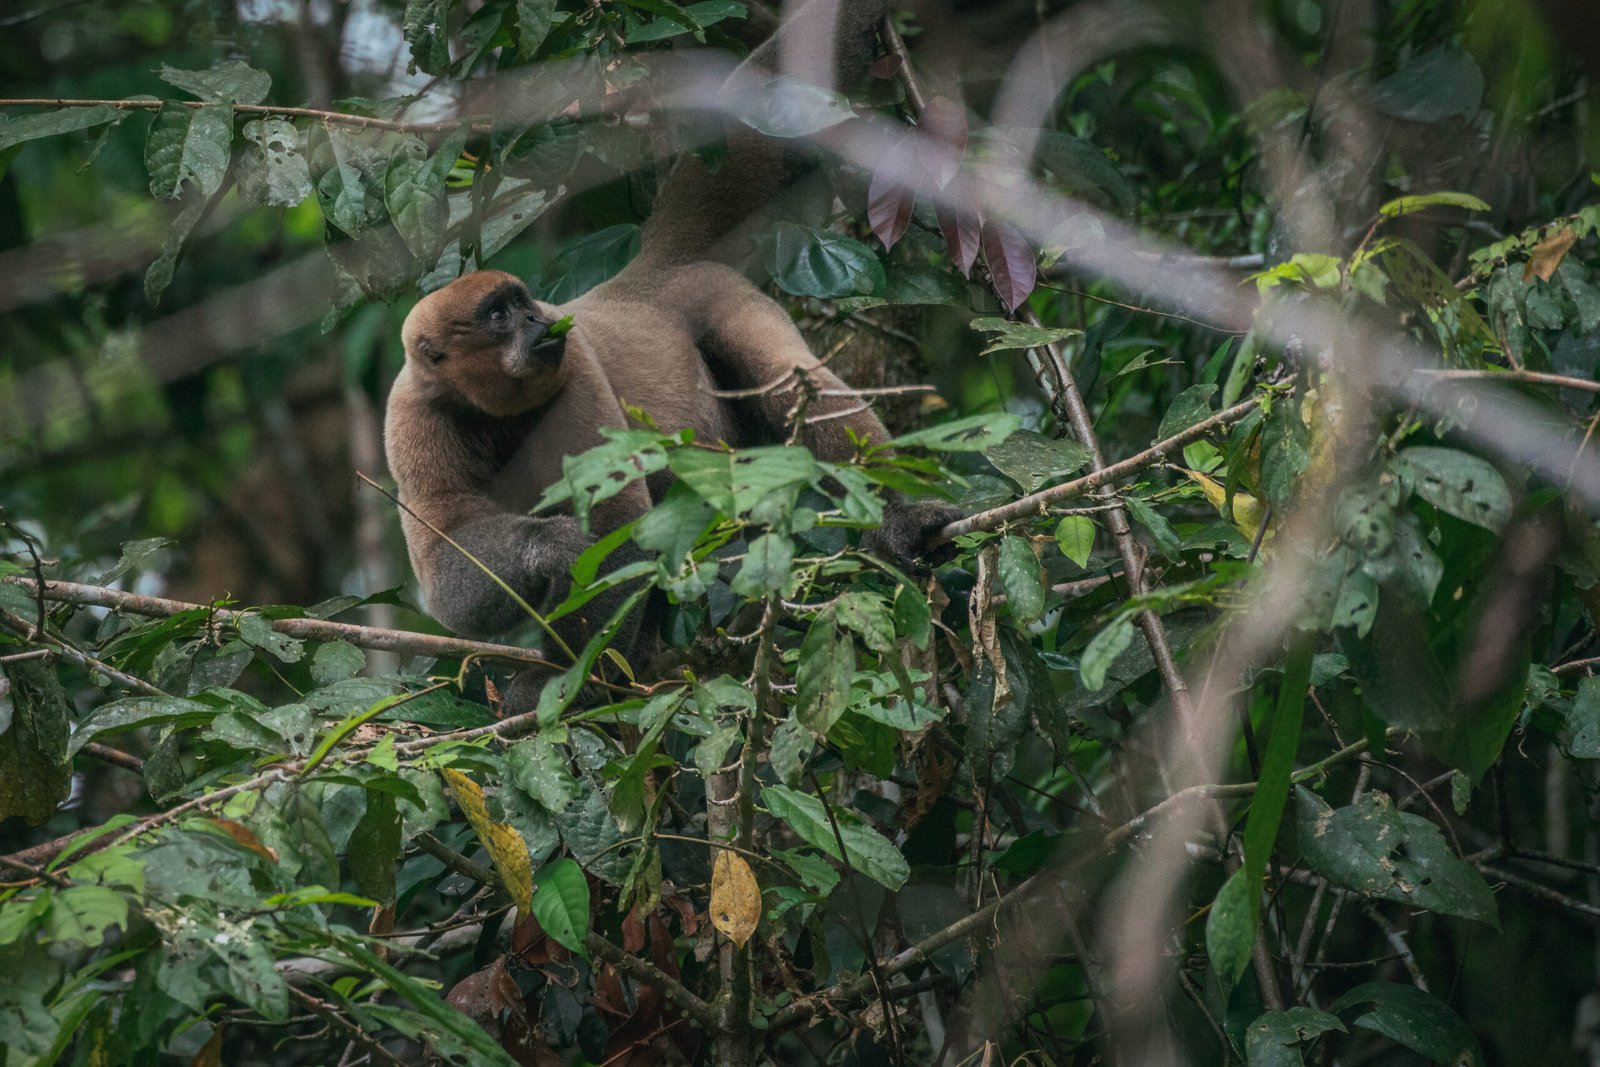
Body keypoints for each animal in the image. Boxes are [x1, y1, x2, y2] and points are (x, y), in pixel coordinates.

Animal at [384, 0, 960, 662]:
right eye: (498, 315)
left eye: (523, 302)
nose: (537, 319)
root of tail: (652, 268)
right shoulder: (412, 415)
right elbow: (445, 556)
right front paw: (547, 552)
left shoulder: (574, 369)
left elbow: (615, 524)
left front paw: (573, 681)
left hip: (716, 295)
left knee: (788, 382)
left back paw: (897, 519)